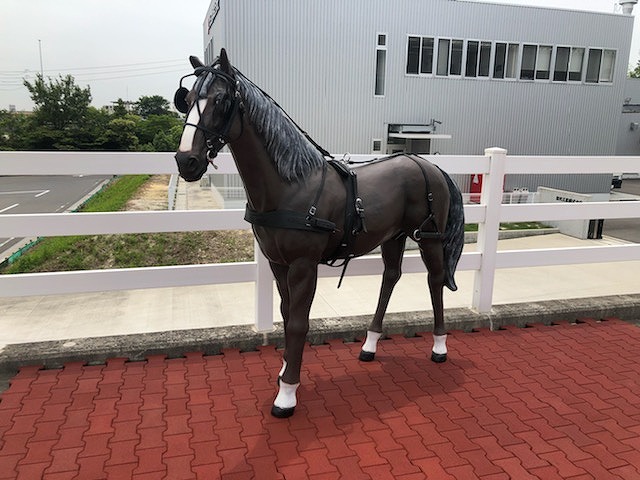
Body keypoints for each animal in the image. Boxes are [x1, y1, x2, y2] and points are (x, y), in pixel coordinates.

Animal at [174, 49, 465, 418]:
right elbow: (286, 316)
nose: (186, 161)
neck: (292, 184)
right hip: (394, 236)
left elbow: (300, 322)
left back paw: (439, 347)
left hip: (429, 237)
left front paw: (287, 393)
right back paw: (370, 344)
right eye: (187, 100)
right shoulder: (278, 263)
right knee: (390, 277)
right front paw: (285, 370)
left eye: (221, 99)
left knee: (435, 279)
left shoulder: (303, 264)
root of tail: (429, 165)